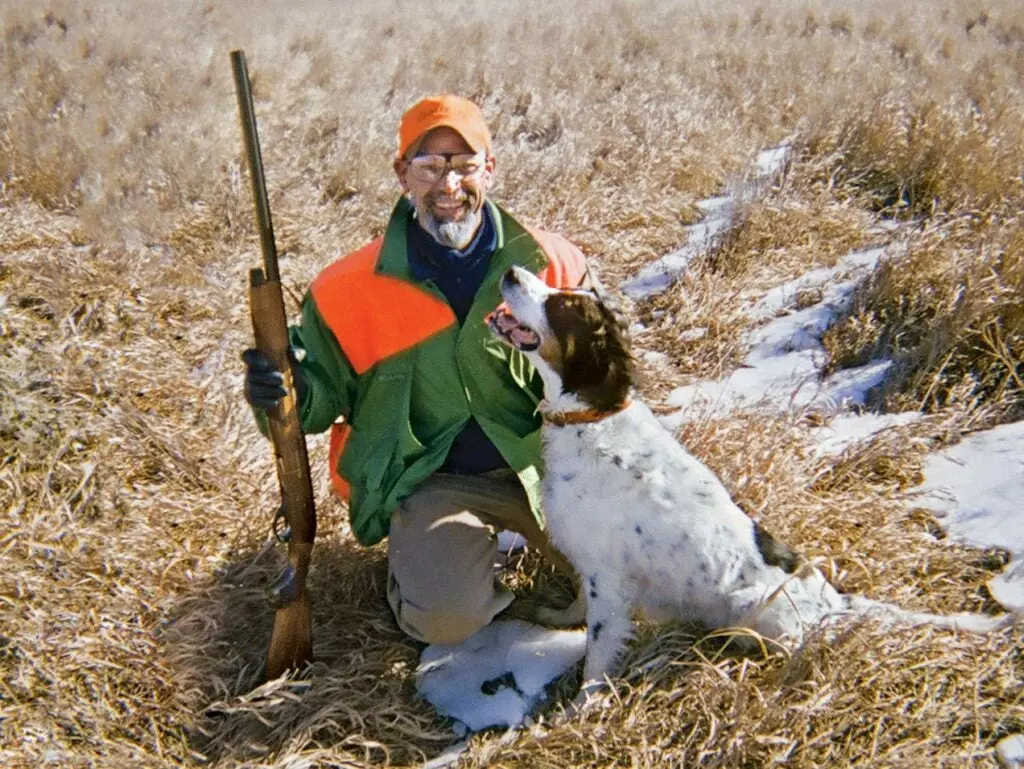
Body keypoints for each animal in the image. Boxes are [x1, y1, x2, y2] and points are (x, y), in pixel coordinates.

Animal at [487, 266, 1015, 704]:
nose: (510, 271)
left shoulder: (609, 580)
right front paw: (554, 620)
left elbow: (598, 655)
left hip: (759, 610)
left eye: (560, 306)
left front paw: (578, 709)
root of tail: (834, 603)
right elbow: (577, 608)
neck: (590, 419)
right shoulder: (589, 568)